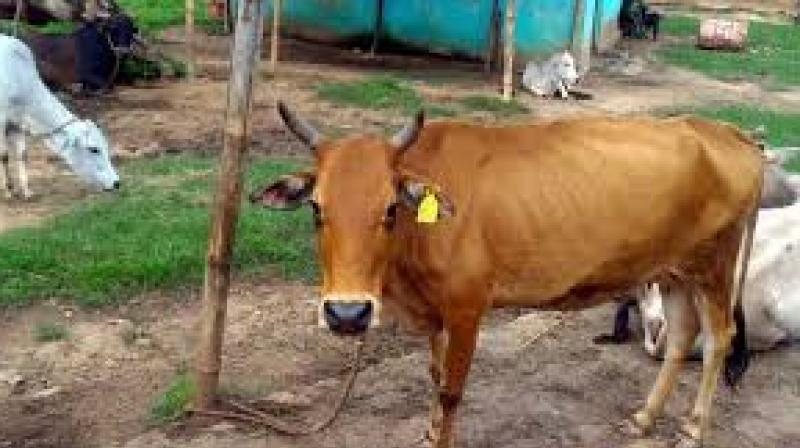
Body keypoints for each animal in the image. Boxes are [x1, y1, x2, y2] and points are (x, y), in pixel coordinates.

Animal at [1, 34, 120, 199]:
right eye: (94, 149)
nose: (116, 183)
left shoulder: (17, 123)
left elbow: (22, 155)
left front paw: (26, 191)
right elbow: (4, 155)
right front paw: (8, 191)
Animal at [250, 103, 763, 448]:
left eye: (391, 208)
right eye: (317, 209)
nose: (347, 313)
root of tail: (730, 134)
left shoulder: (467, 309)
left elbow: (451, 391)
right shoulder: (435, 313)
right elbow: (434, 378)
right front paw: (429, 432)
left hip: (716, 265)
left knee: (718, 337)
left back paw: (693, 428)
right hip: (673, 270)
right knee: (680, 337)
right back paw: (643, 418)